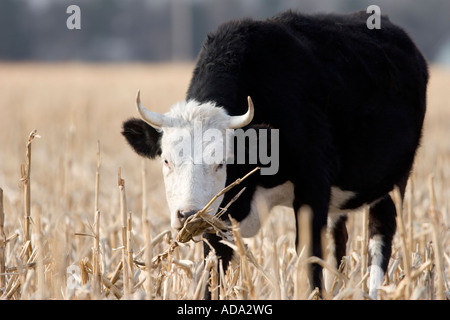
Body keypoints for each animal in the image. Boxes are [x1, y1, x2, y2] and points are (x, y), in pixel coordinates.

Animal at [121, 10, 428, 300]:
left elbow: (309, 259)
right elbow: (213, 268)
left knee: (379, 241)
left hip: (393, 184)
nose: (189, 215)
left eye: (221, 163)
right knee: (339, 241)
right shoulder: (218, 217)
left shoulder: (313, 186)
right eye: (166, 161)